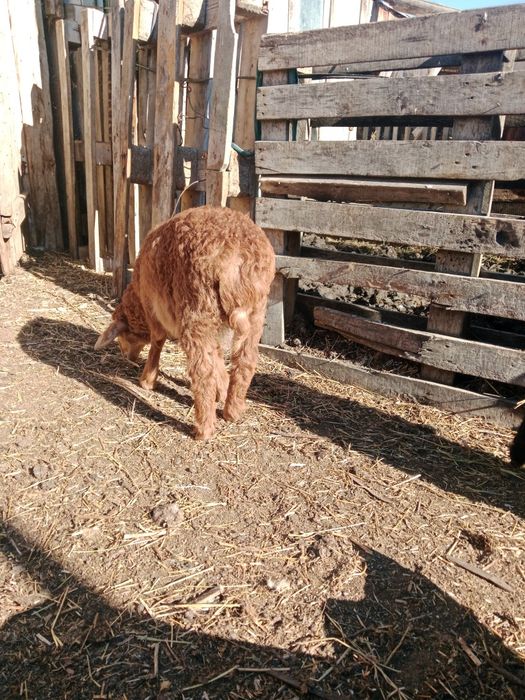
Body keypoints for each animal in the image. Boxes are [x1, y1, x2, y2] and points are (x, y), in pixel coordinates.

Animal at [95, 206, 275, 439]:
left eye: (123, 337)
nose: (128, 357)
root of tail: (237, 259)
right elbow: (217, 353)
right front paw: (222, 388)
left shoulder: (153, 309)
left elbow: (157, 342)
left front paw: (147, 381)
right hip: (255, 311)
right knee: (246, 360)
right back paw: (232, 411)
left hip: (196, 306)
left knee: (202, 370)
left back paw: (204, 428)